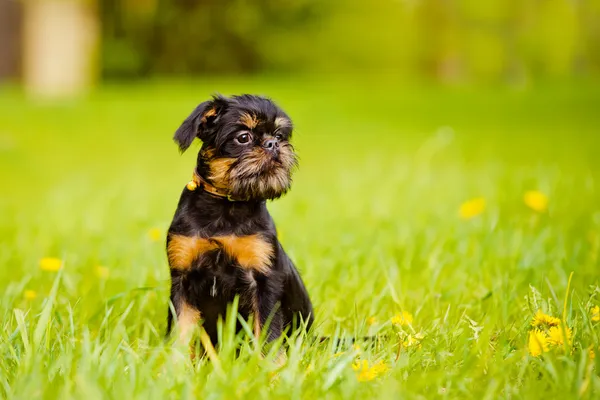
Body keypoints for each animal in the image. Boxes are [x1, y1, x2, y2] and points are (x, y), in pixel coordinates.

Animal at [165, 94, 314, 350]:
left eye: (279, 136)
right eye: (243, 137)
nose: (272, 144)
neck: (227, 205)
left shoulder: (263, 281)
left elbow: (268, 334)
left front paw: (270, 362)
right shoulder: (182, 280)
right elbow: (180, 332)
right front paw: (174, 360)